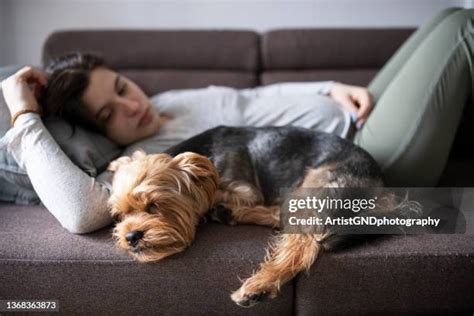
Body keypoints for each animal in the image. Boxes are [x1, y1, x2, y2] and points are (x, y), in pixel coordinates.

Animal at [110, 125, 404, 306]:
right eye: (119, 215)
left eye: (154, 205)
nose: (131, 237)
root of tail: (382, 185)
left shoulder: (246, 189)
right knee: (281, 216)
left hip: (315, 189)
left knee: (304, 242)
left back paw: (259, 285)